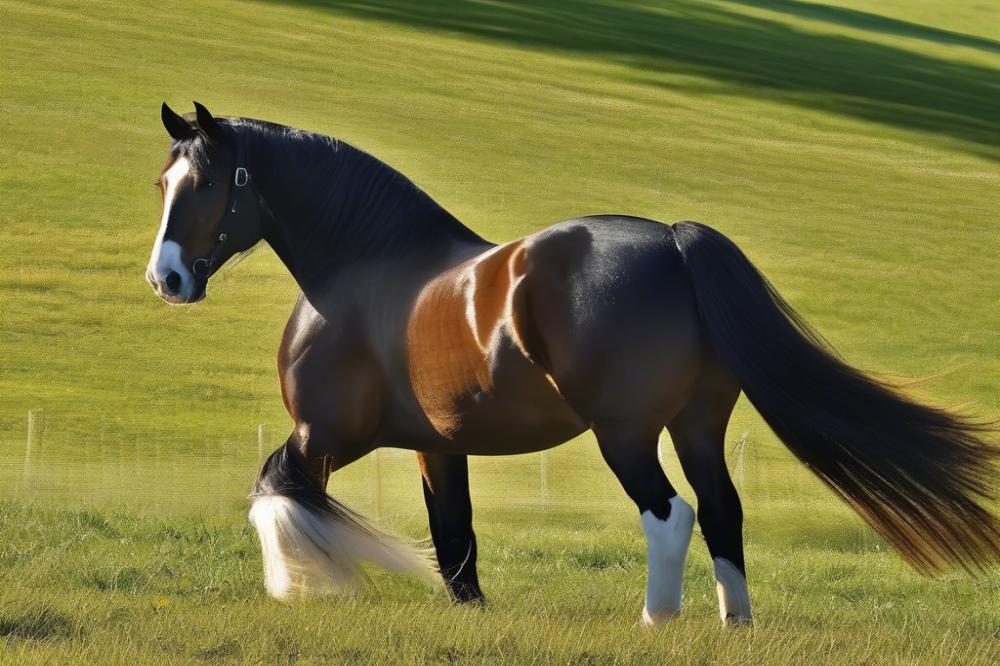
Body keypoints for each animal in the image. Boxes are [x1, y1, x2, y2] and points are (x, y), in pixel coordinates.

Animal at [148, 102, 1000, 624]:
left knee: (670, 513)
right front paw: (468, 612)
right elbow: (453, 534)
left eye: (206, 182)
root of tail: (674, 241)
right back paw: (735, 622)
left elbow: (277, 492)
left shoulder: (324, 435)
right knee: (722, 509)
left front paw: (300, 587)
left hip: (624, 433)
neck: (364, 264)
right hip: (697, 424)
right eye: (163, 181)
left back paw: (658, 619)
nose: (168, 279)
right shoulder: (435, 447)